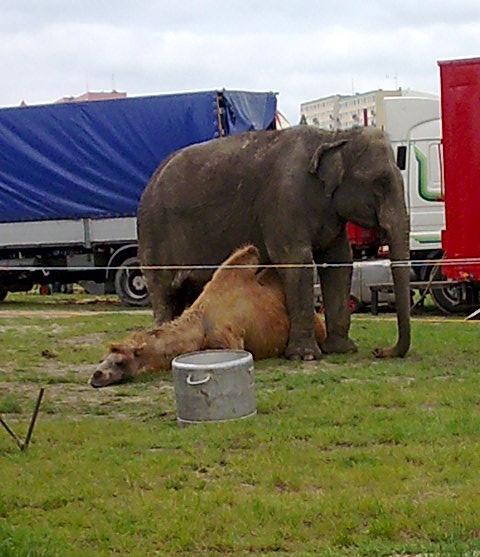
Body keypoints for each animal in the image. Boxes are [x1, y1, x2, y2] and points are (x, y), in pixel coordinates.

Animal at [137, 124, 410, 360]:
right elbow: (296, 261)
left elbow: (339, 262)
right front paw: (306, 356)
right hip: (153, 234)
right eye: (380, 182)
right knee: (162, 289)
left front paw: (342, 349)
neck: (333, 136)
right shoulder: (284, 202)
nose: (379, 351)